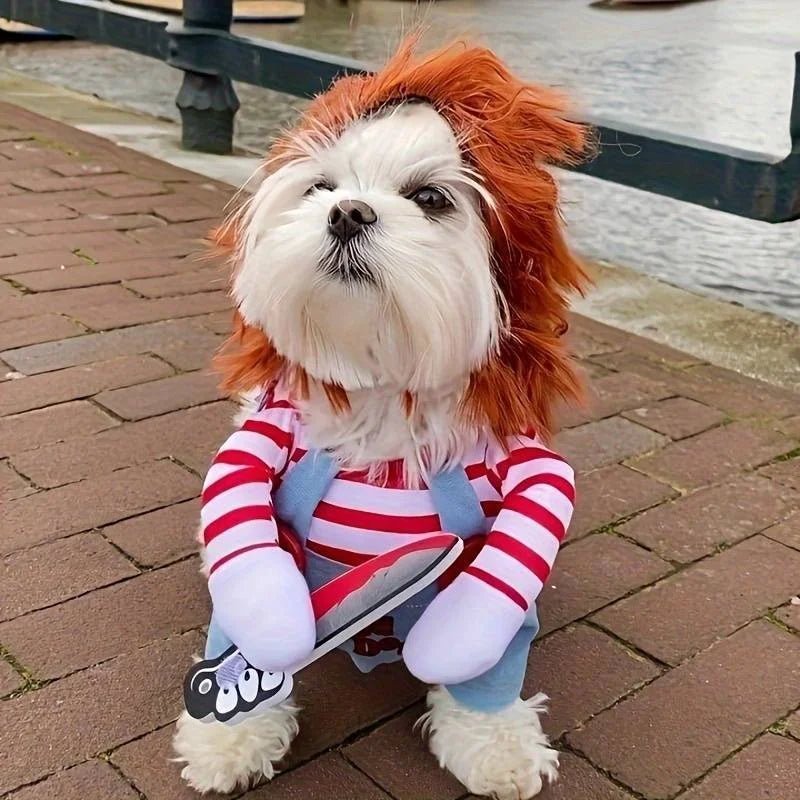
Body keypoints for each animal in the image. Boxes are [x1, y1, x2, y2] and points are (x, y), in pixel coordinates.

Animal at [173, 37, 588, 800]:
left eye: (430, 198)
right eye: (320, 188)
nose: (348, 213)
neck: (381, 390)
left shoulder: (516, 491)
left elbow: (494, 617)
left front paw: (496, 743)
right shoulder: (267, 446)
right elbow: (244, 553)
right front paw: (231, 731)